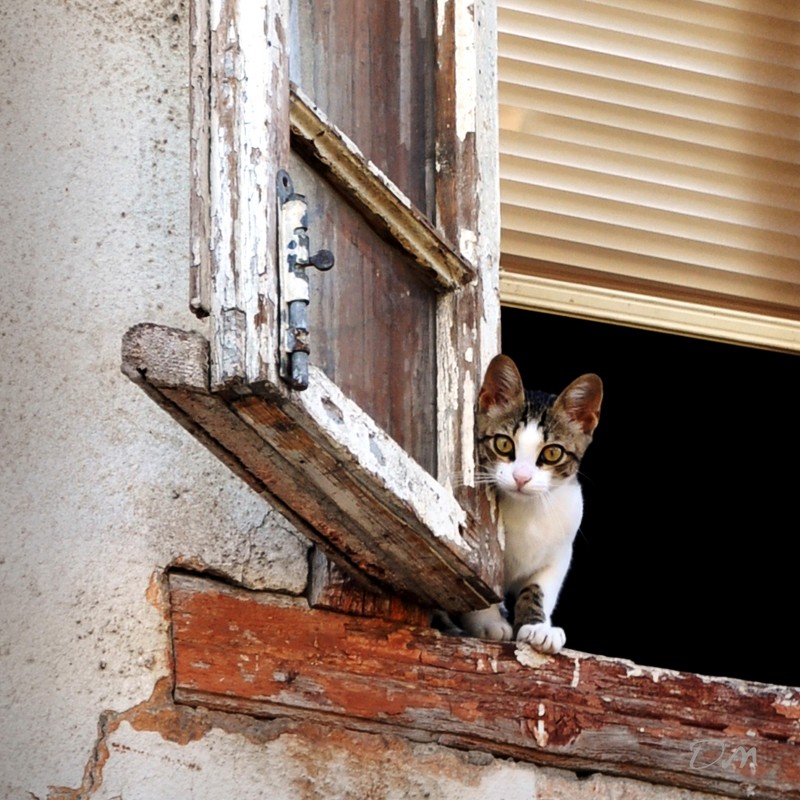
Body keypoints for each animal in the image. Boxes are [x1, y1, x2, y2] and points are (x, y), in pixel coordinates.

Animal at [460, 356, 604, 656]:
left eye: (552, 452)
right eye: (503, 444)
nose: (521, 477)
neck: (527, 512)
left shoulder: (561, 552)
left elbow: (540, 588)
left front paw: (538, 626)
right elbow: (479, 582)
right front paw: (488, 622)